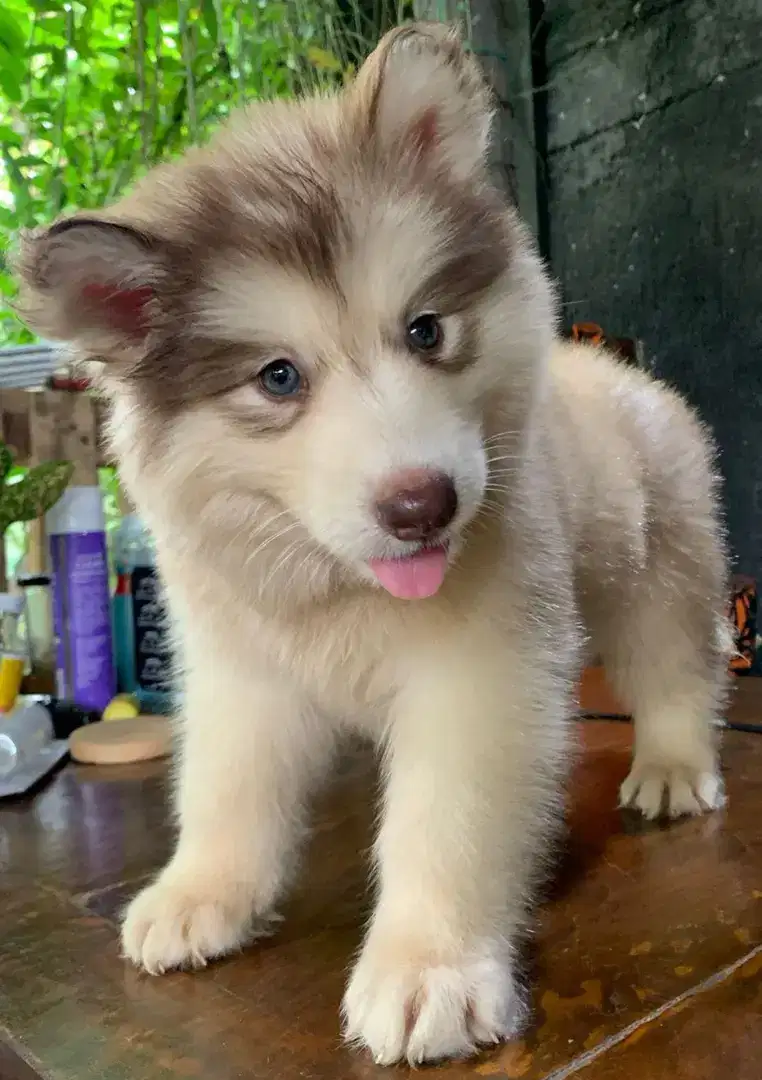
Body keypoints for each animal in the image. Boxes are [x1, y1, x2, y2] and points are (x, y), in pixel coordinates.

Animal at [13, 23, 725, 1062]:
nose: (423, 505)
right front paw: (201, 890)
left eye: (426, 330)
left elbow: (444, 824)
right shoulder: (241, 672)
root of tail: (617, 368)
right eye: (277, 378)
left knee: (675, 664)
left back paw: (673, 765)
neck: (338, 586)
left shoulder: (477, 678)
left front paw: (430, 966)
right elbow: (225, 788)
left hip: (659, 563)